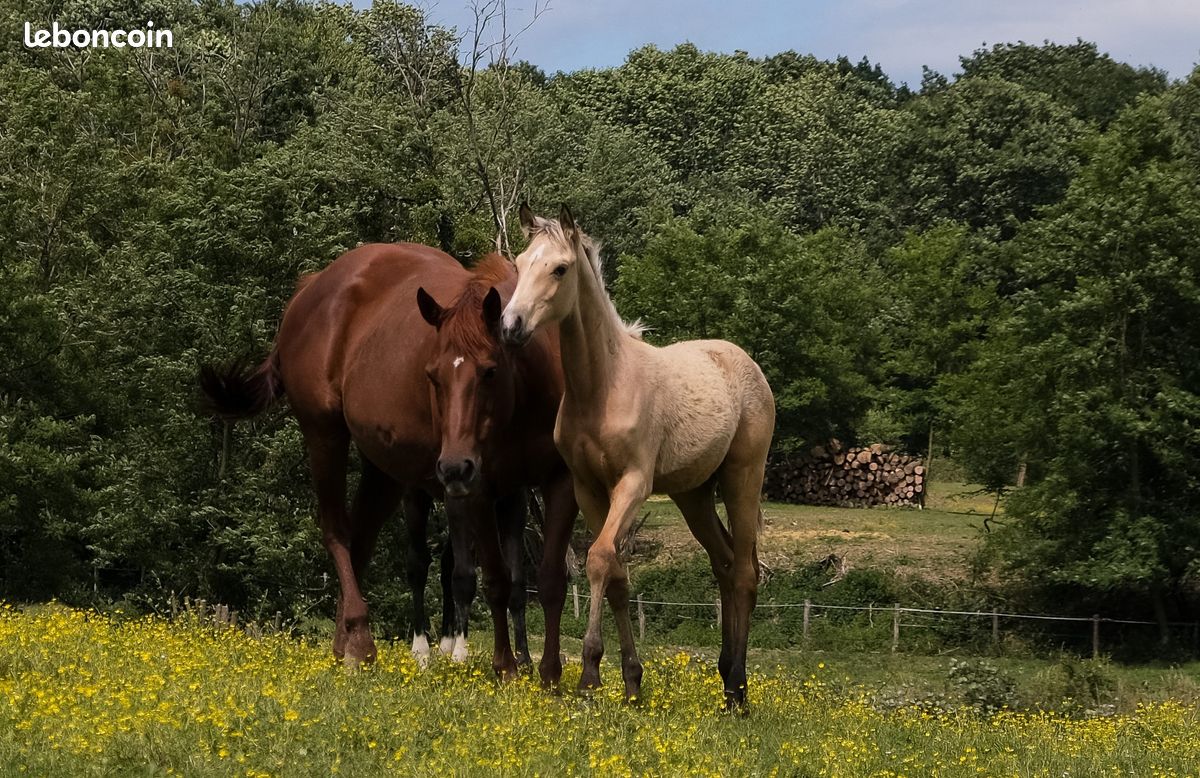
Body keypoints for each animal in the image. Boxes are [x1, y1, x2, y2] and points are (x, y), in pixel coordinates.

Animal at [200, 244, 577, 684]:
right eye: (432, 375)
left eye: (490, 371)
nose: (454, 465)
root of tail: (311, 287)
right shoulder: (478, 490)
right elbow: (488, 578)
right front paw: (502, 667)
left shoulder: (545, 484)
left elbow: (546, 580)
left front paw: (547, 674)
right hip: (325, 434)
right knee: (338, 532)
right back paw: (362, 640)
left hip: (384, 471)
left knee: (360, 540)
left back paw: (344, 644)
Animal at [499, 206, 775, 709]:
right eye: (522, 261)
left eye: (560, 268)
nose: (511, 327)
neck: (603, 386)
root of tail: (745, 363)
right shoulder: (589, 488)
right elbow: (617, 576)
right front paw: (630, 680)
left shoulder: (633, 484)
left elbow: (599, 559)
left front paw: (590, 673)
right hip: (694, 495)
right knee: (725, 565)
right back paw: (726, 676)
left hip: (743, 477)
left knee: (746, 572)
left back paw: (738, 691)